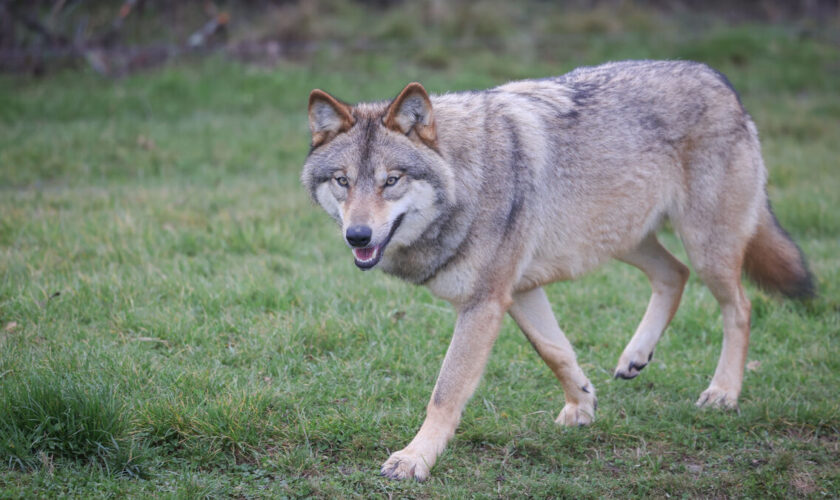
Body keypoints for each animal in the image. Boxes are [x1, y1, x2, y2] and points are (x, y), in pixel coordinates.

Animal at [298, 59, 812, 480]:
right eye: (343, 181)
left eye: (391, 180)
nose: (358, 236)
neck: (468, 178)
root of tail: (719, 78)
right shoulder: (518, 291)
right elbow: (554, 351)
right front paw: (582, 405)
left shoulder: (484, 302)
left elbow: (445, 392)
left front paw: (414, 459)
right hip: (622, 240)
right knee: (674, 274)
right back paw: (635, 356)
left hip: (706, 249)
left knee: (740, 305)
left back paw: (723, 393)